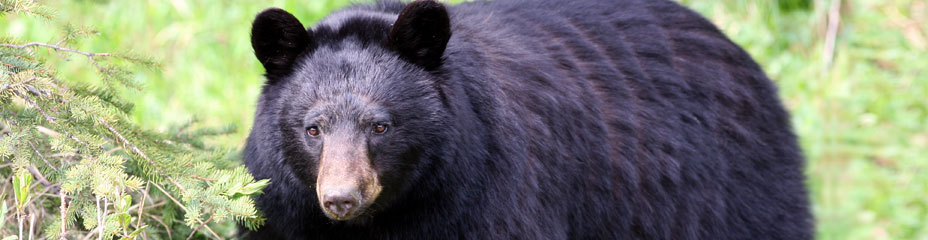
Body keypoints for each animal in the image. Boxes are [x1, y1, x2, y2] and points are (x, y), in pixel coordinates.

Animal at [245, 0, 812, 237]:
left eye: (381, 126)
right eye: (313, 128)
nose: (341, 199)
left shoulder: (488, 197)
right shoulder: (284, 212)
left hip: (733, 197)